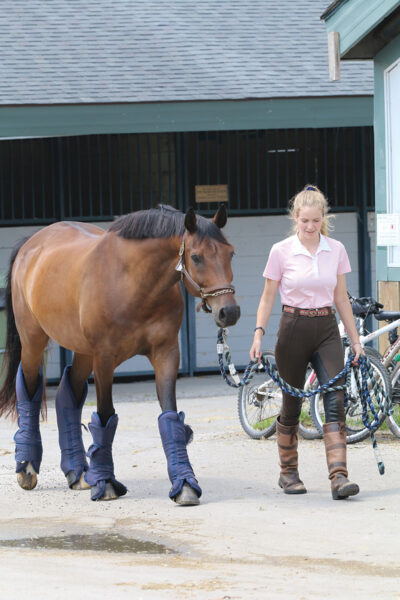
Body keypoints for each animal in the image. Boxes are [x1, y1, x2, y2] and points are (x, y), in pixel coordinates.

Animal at [0, 204, 239, 504]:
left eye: (230, 253)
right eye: (196, 257)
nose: (229, 312)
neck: (134, 282)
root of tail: (31, 244)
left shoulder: (167, 354)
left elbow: (170, 413)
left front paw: (184, 483)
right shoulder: (104, 358)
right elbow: (105, 413)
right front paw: (106, 484)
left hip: (82, 352)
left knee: (69, 394)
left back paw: (78, 473)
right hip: (33, 340)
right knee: (30, 388)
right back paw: (28, 468)